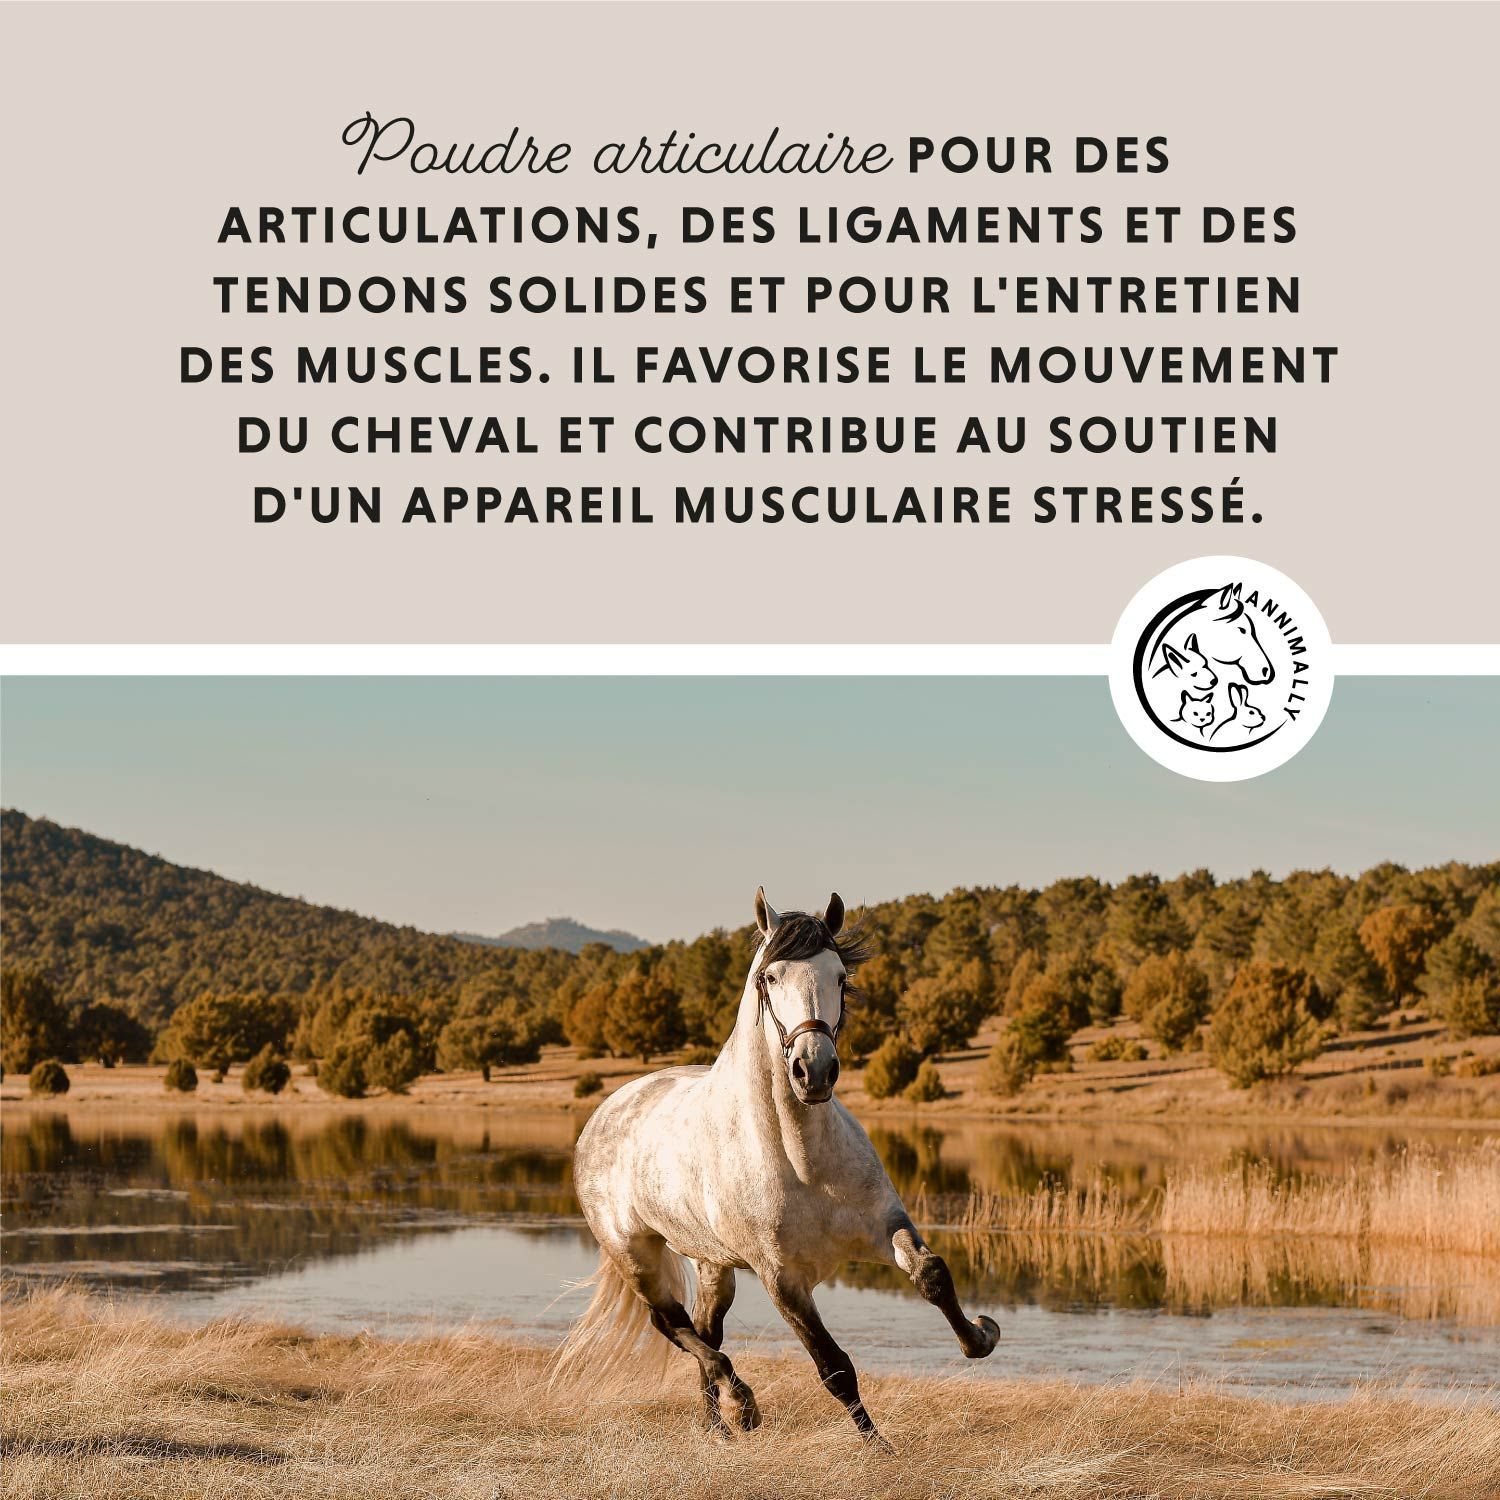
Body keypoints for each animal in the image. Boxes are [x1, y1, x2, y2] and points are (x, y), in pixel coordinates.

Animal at [553, 888, 999, 1447]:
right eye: (769, 977)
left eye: (840, 976)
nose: (814, 1070)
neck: (801, 1159)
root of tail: (605, 1112)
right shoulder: (783, 1279)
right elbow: (834, 1367)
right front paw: (881, 1450)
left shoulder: (883, 1227)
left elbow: (932, 1274)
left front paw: (981, 1335)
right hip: (636, 1256)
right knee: (672, 1325)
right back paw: (742, 1405)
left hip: (713, 1263)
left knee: (703, 1328)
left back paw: (717, 1427)